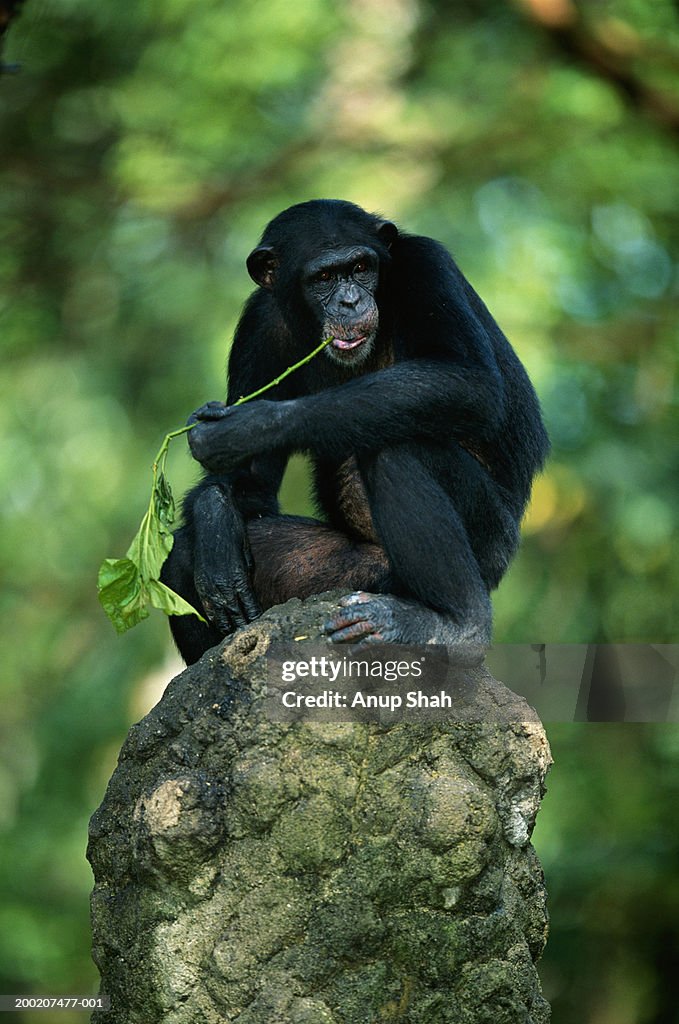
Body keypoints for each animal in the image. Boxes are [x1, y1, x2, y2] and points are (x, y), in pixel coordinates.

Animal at [161, 198, 548, 663]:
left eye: (361, 267)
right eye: (324, 277)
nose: (350, 300)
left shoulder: (427, 265)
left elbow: (469, 380)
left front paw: (251, 426)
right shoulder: (258, 325)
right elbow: (250, 484)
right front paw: (215, 520)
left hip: (491, 544)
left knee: (398, 448)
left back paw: (455, 626)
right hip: (346, 580)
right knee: (181, 558)